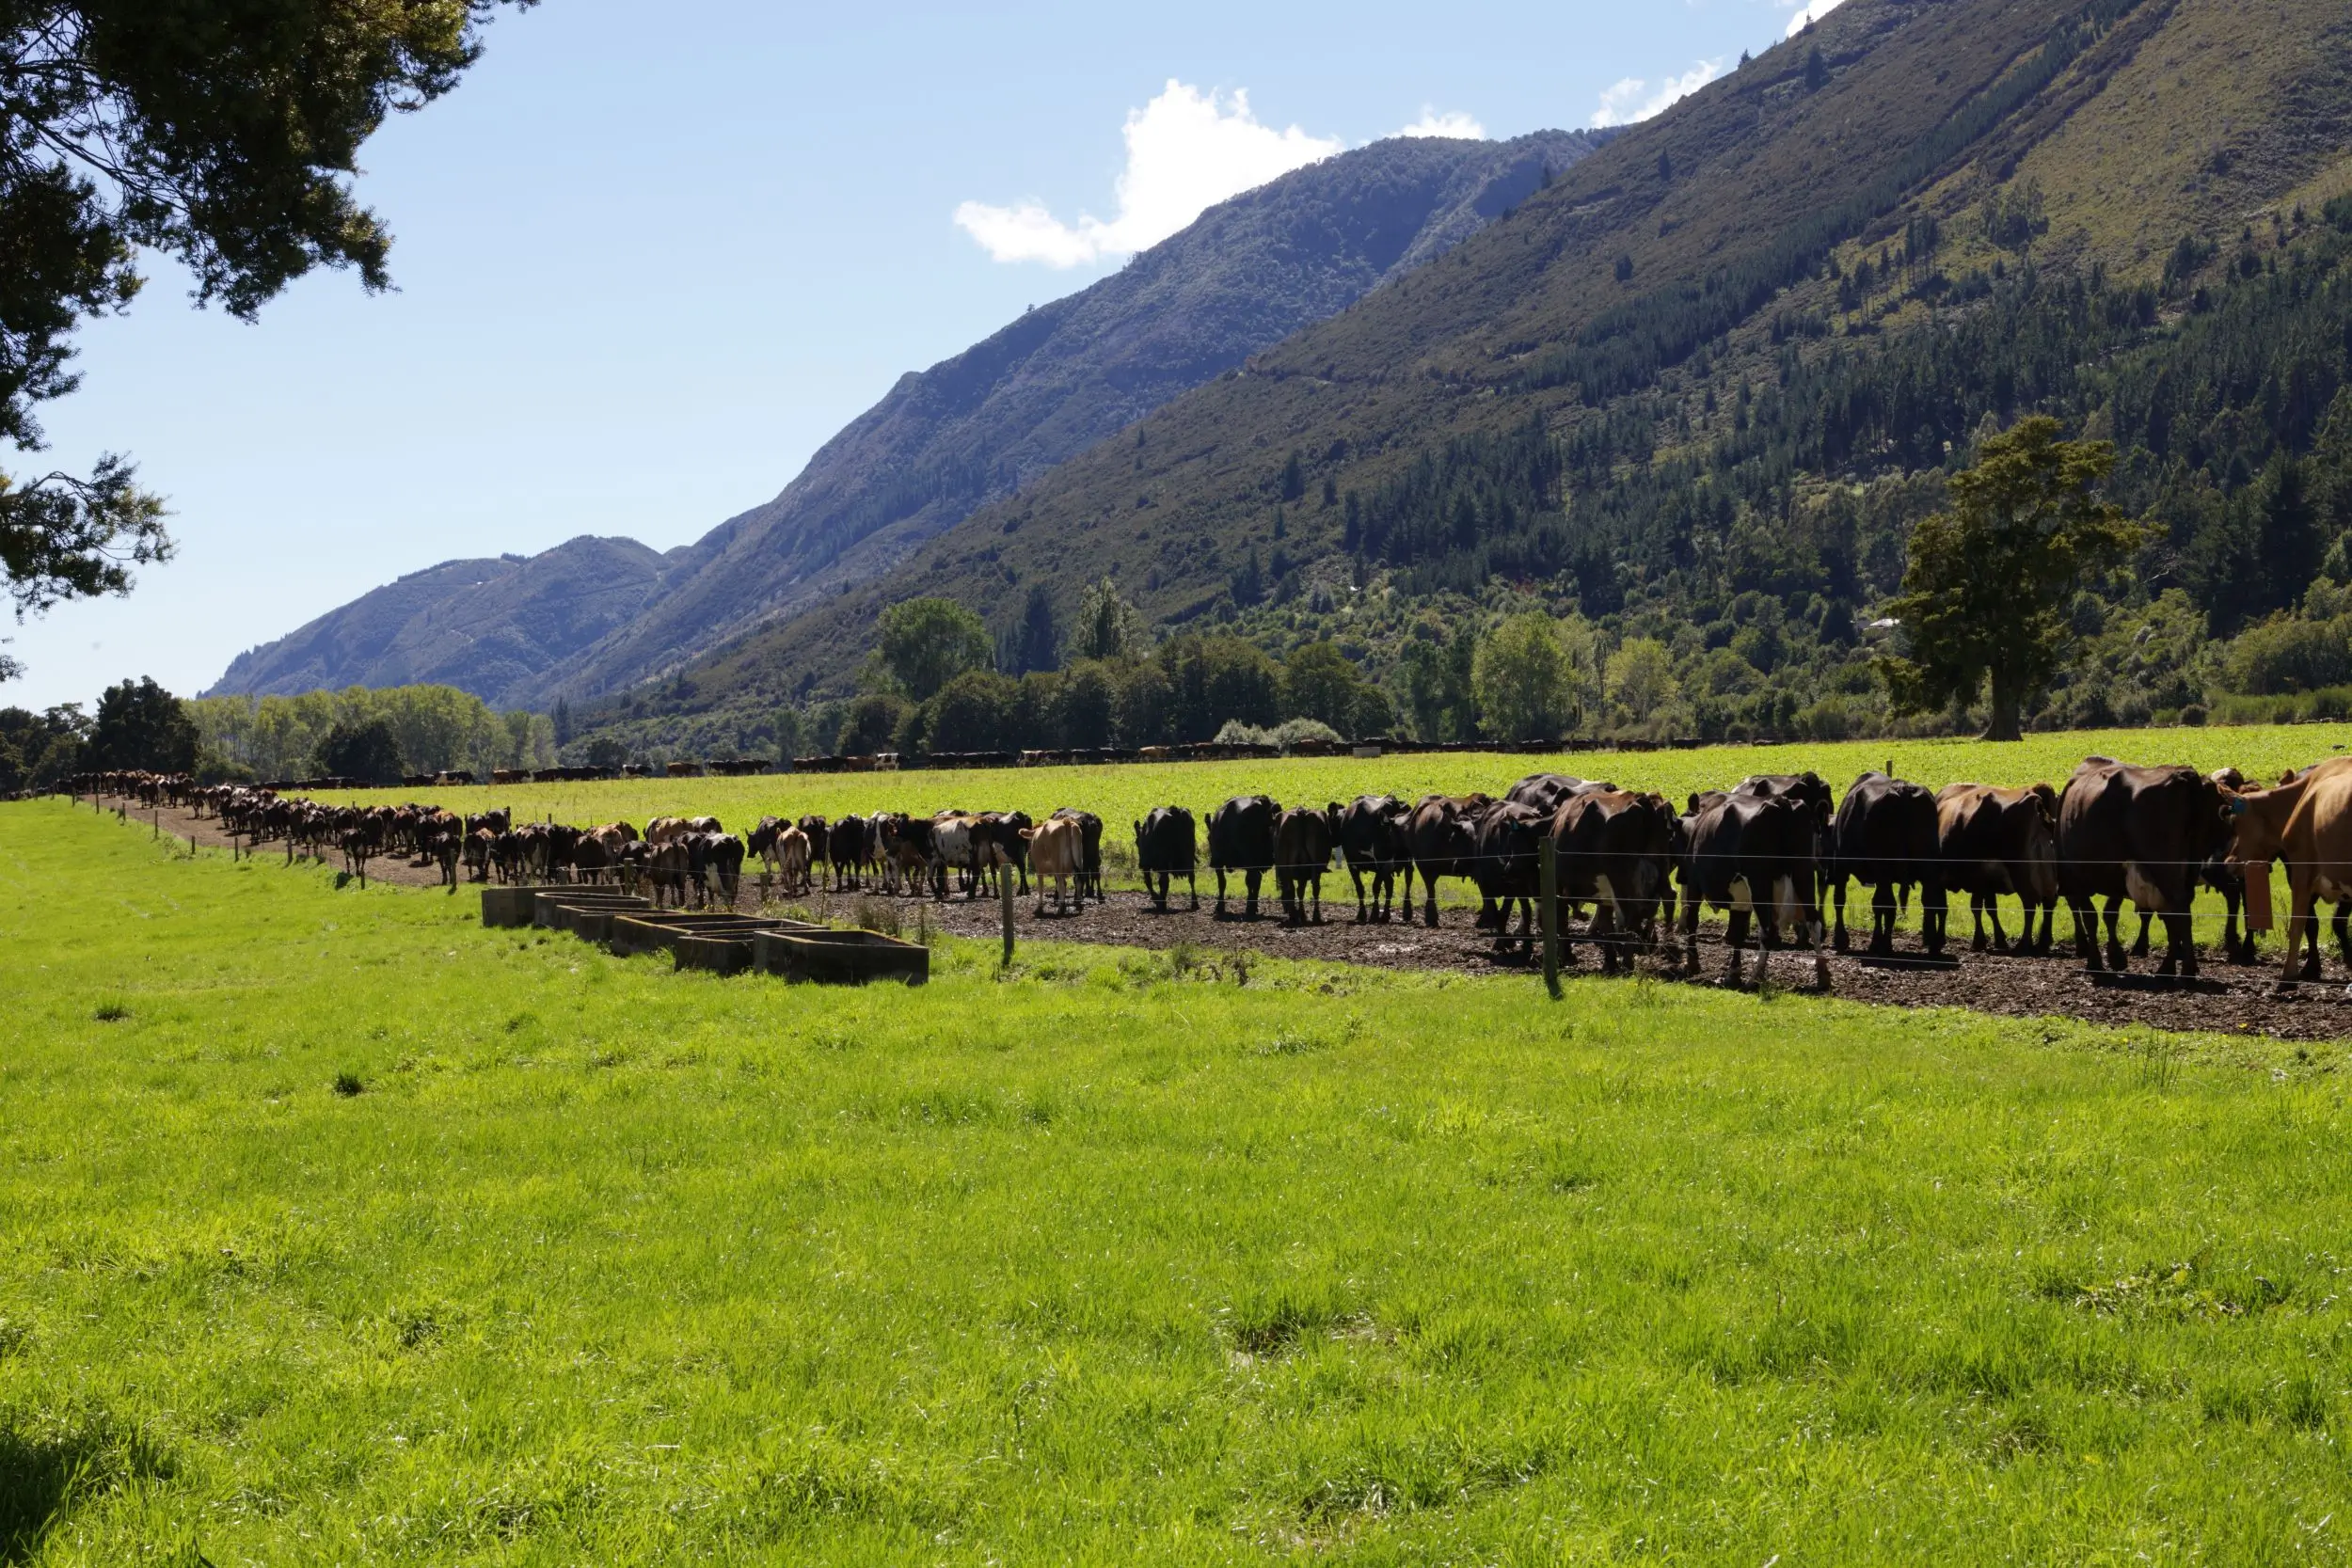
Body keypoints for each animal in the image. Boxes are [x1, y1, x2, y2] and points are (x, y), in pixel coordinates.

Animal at [1816, 770, 1947, 958]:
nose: (1828, 877)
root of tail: (1903, 788)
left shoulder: (1842, 868)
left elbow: (1840, 900)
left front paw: (1841, 939)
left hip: (1885, 869)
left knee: (1889, 905)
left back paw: (1885, 944)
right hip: (1927, 867)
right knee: (1929, 901)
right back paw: (1933, 944)